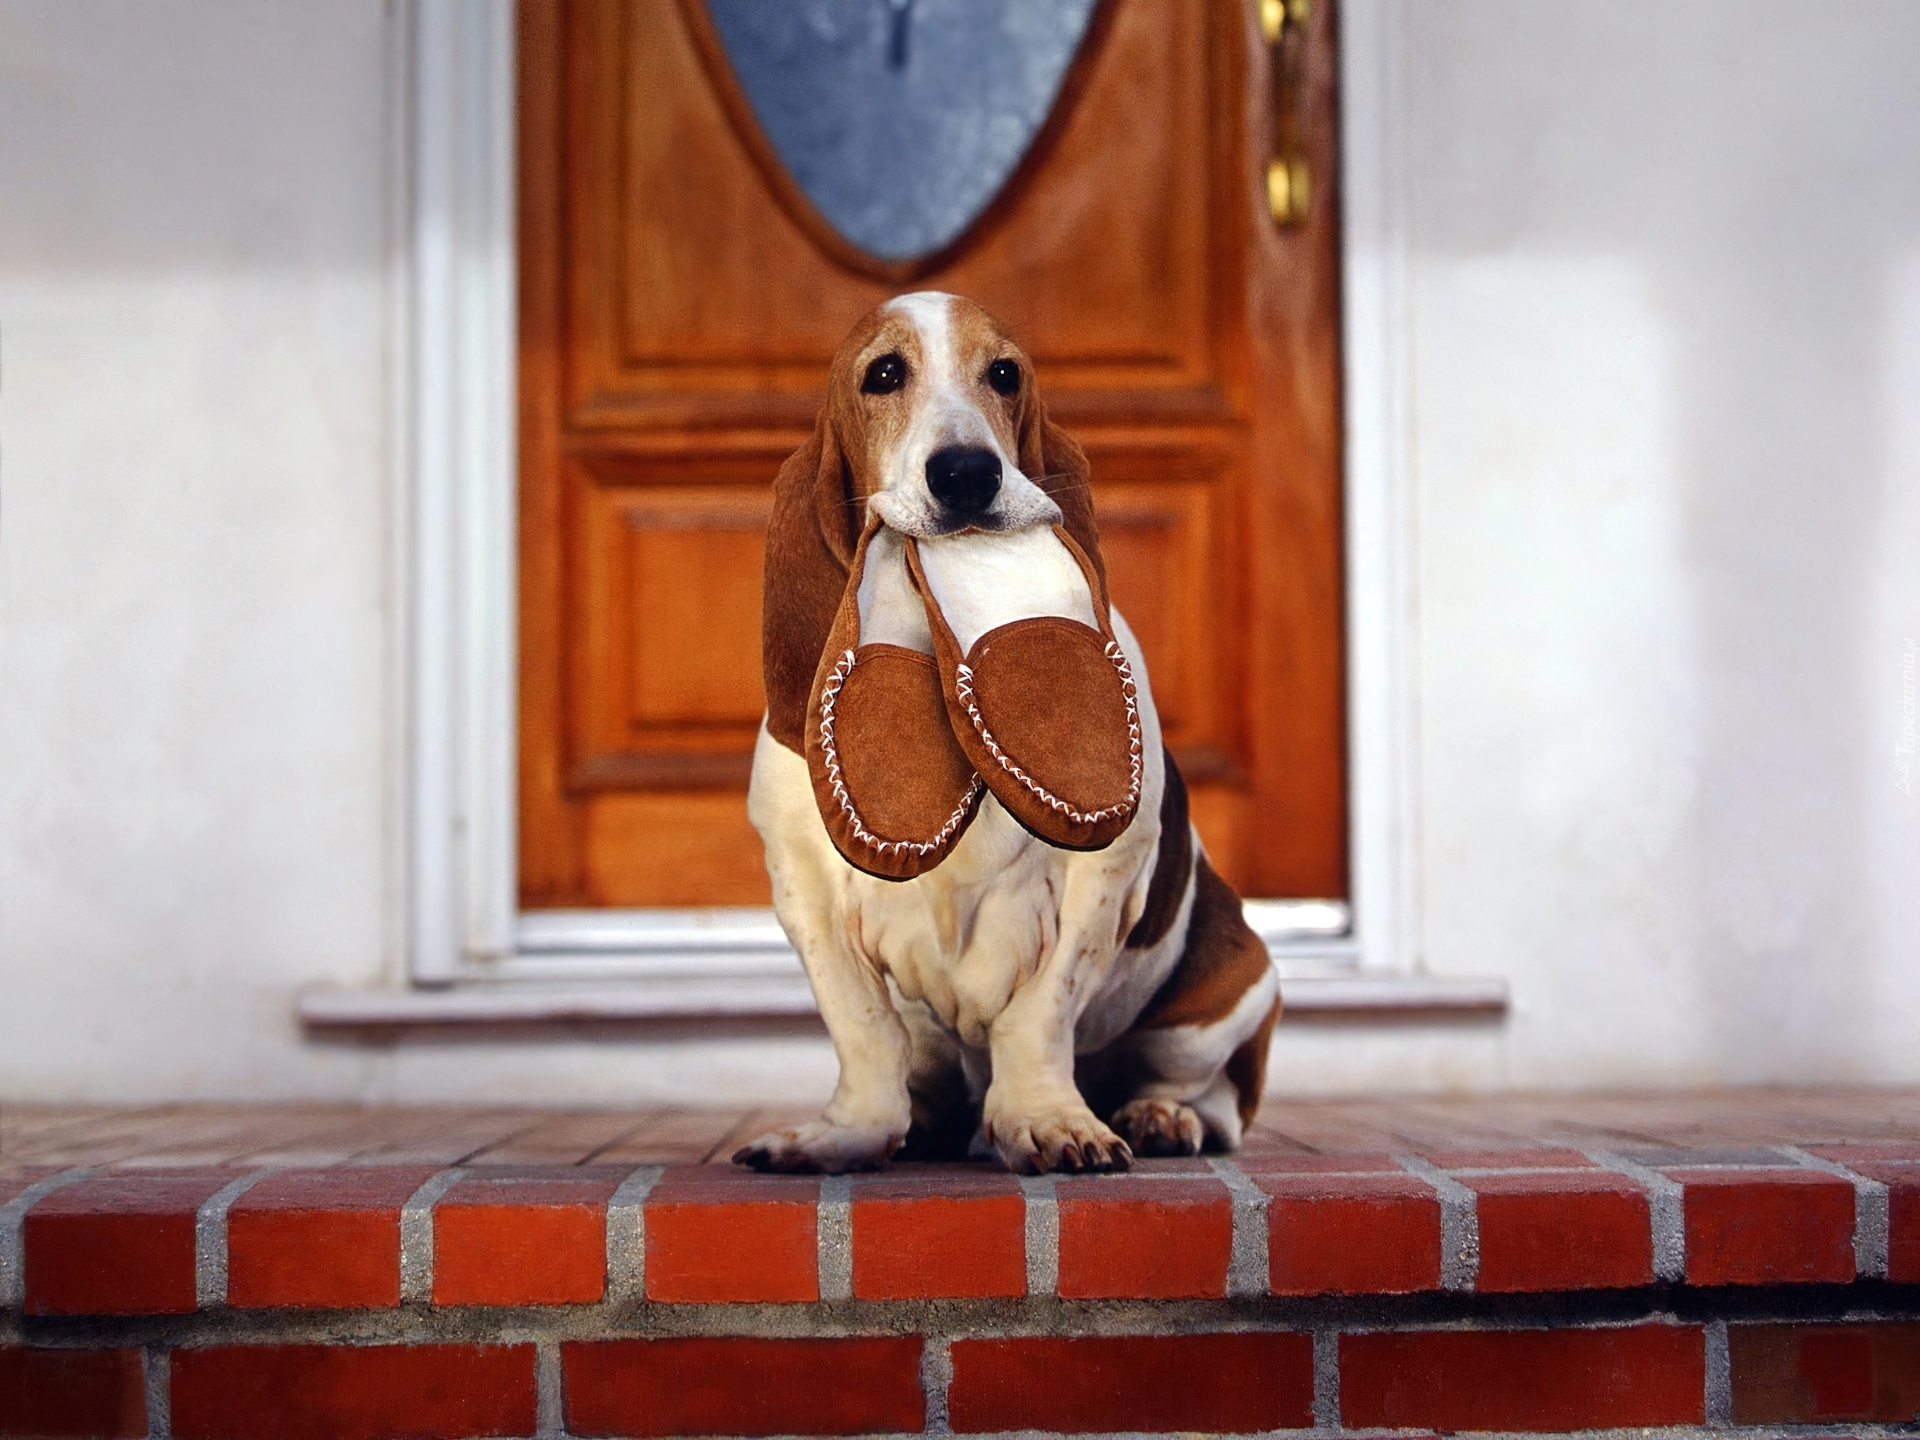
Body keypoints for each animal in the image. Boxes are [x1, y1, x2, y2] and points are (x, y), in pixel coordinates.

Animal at [741, 289, 1282, 1175]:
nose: (967, 472)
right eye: (883, 374)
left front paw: (1048, 1121)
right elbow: (863, 1029)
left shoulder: (1099, 880)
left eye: (1004, 374)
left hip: (1231, 996)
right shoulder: (806, 892)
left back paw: (1162, 1116)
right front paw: (845, 1133)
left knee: (1217, 1100)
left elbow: (1040, 1013)